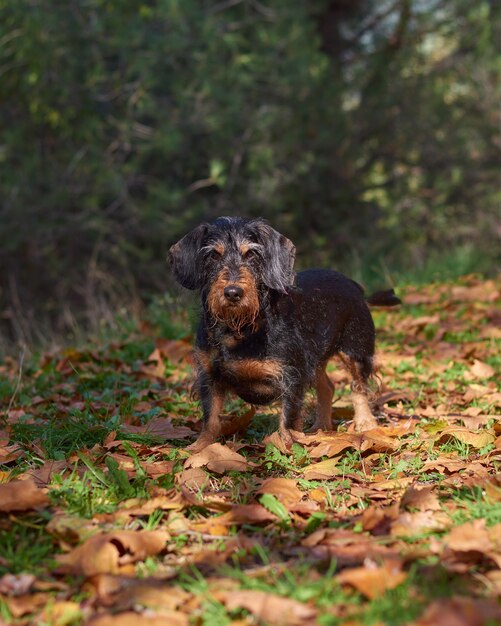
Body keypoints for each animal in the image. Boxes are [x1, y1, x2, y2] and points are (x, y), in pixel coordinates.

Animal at [168, 214, 398, 448]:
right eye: (213, 255)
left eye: (251, 253)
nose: (233, 292)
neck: (239, 328)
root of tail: (355, 286)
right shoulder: (209, 376)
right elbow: (211, 418)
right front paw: (199, 448)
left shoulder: (292, 377)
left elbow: (288, 420)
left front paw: (287, 447)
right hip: (315, 359)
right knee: (328, 387)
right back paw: (321, 428)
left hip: (355, 350)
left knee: (359, 387)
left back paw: (365, 424)